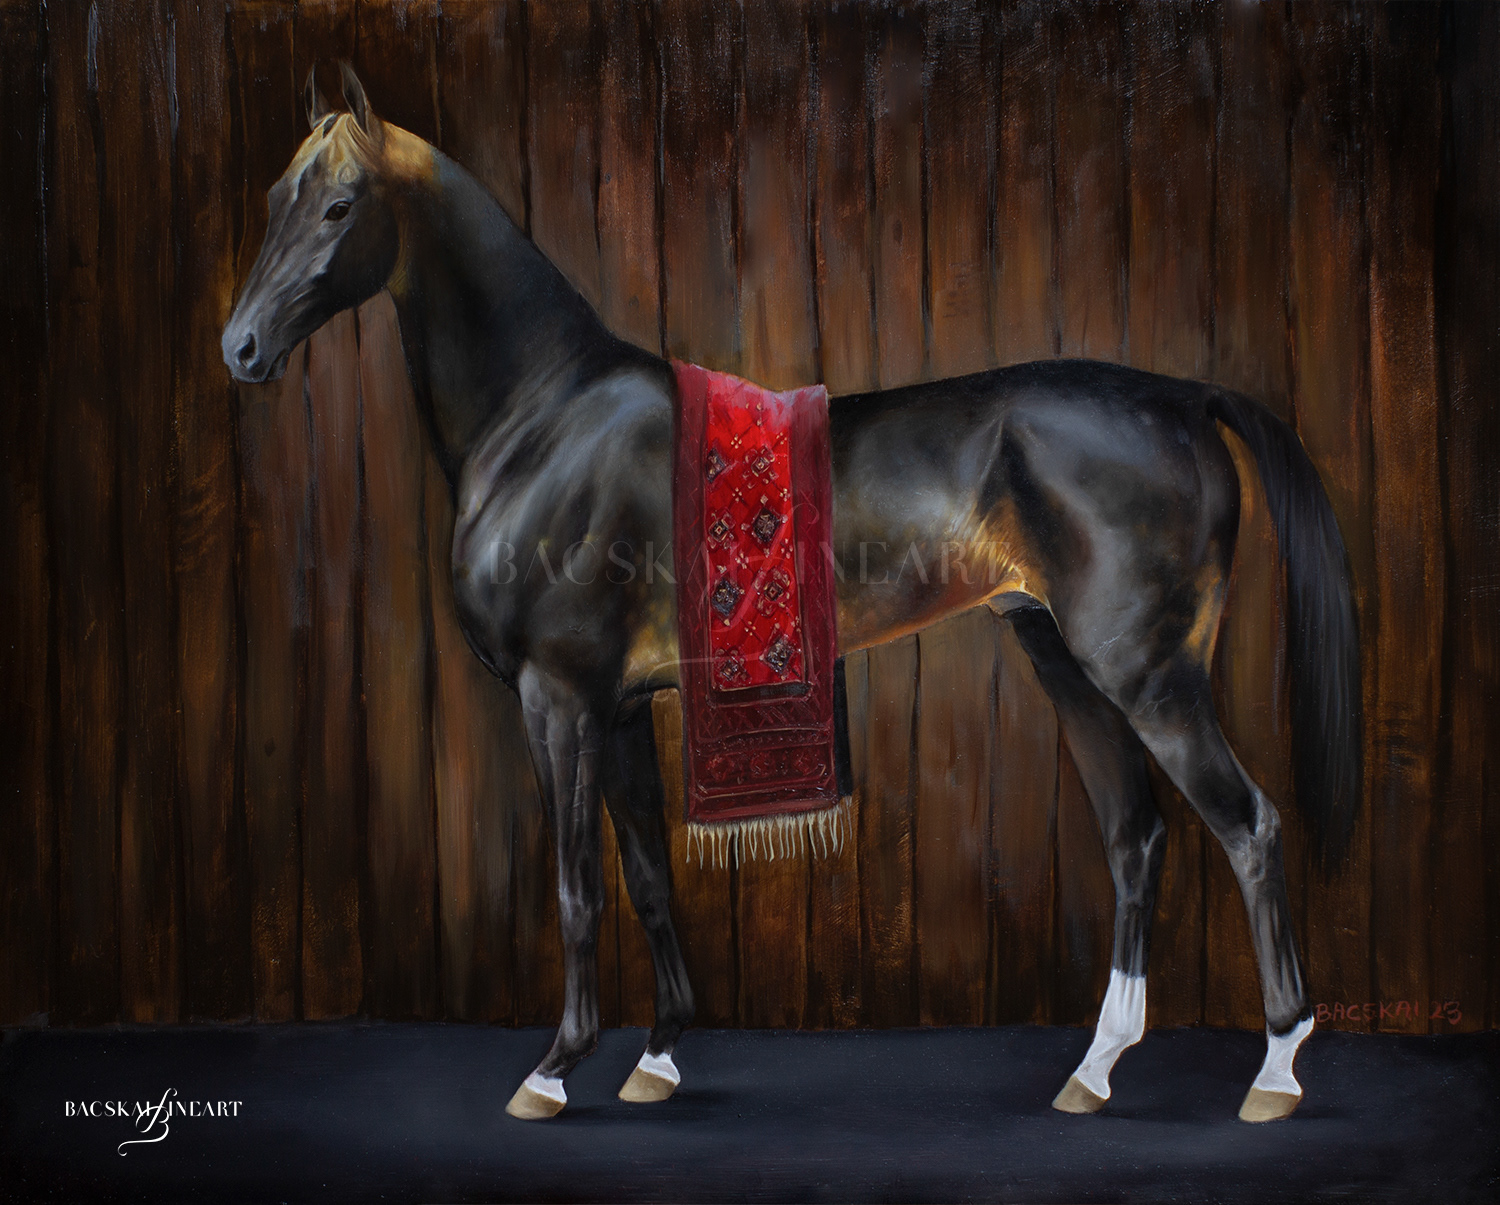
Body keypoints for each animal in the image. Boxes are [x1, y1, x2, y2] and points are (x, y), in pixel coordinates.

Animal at [223, 66, 1360, 1126]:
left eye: (338, 206)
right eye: (277, 195)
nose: (240, 349)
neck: (546, 416)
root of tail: (1182, 397)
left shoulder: (560, 700)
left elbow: (578, 887)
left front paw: (552, 1068)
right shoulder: (621, 710)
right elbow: (646, 875)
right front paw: (657, 1057)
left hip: (1148, 676)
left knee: (1250, 827)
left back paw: (1274, 1070)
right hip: (1069, 666)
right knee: (1137, 839)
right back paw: (1094, 1068)